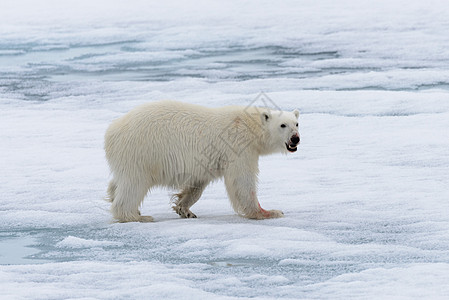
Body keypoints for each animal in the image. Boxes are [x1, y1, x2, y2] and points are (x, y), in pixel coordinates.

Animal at [104, 101, 300, 223]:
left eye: (296, 123)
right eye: (283, 125)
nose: (295, 139)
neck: (250, 124)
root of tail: (112, 131)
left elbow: (197, 184)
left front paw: (184, 208)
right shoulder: (238, 146)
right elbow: (242, 181)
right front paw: (269, 212)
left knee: (118, 181)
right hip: (142, 151)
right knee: (134, 184)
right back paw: (136, 216)